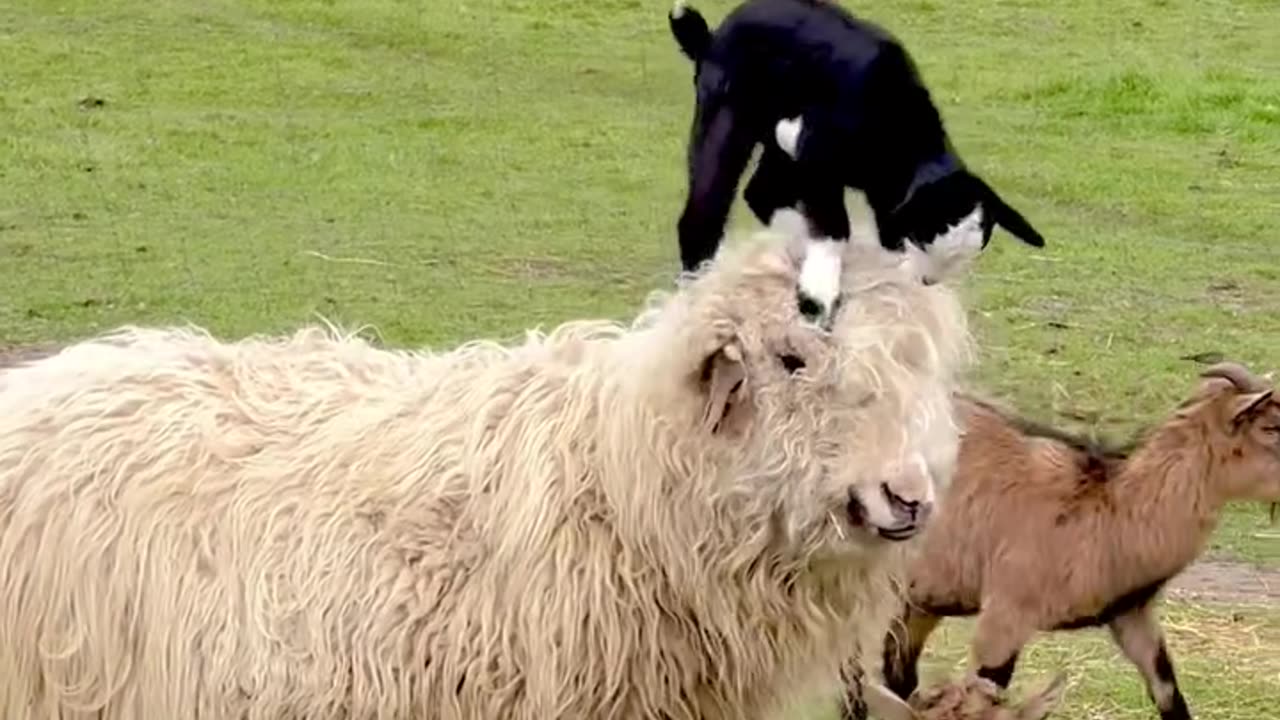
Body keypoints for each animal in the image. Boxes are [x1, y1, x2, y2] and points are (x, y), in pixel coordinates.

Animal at [667, 0, 1046, 326]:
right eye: (924, 238)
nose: (926, 280)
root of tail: (710, 38)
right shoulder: (815, 159)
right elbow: (836, 229)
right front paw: (818, 300)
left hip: (779, 151)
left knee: (761, 194)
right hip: (725, 119)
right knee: (704, 216)